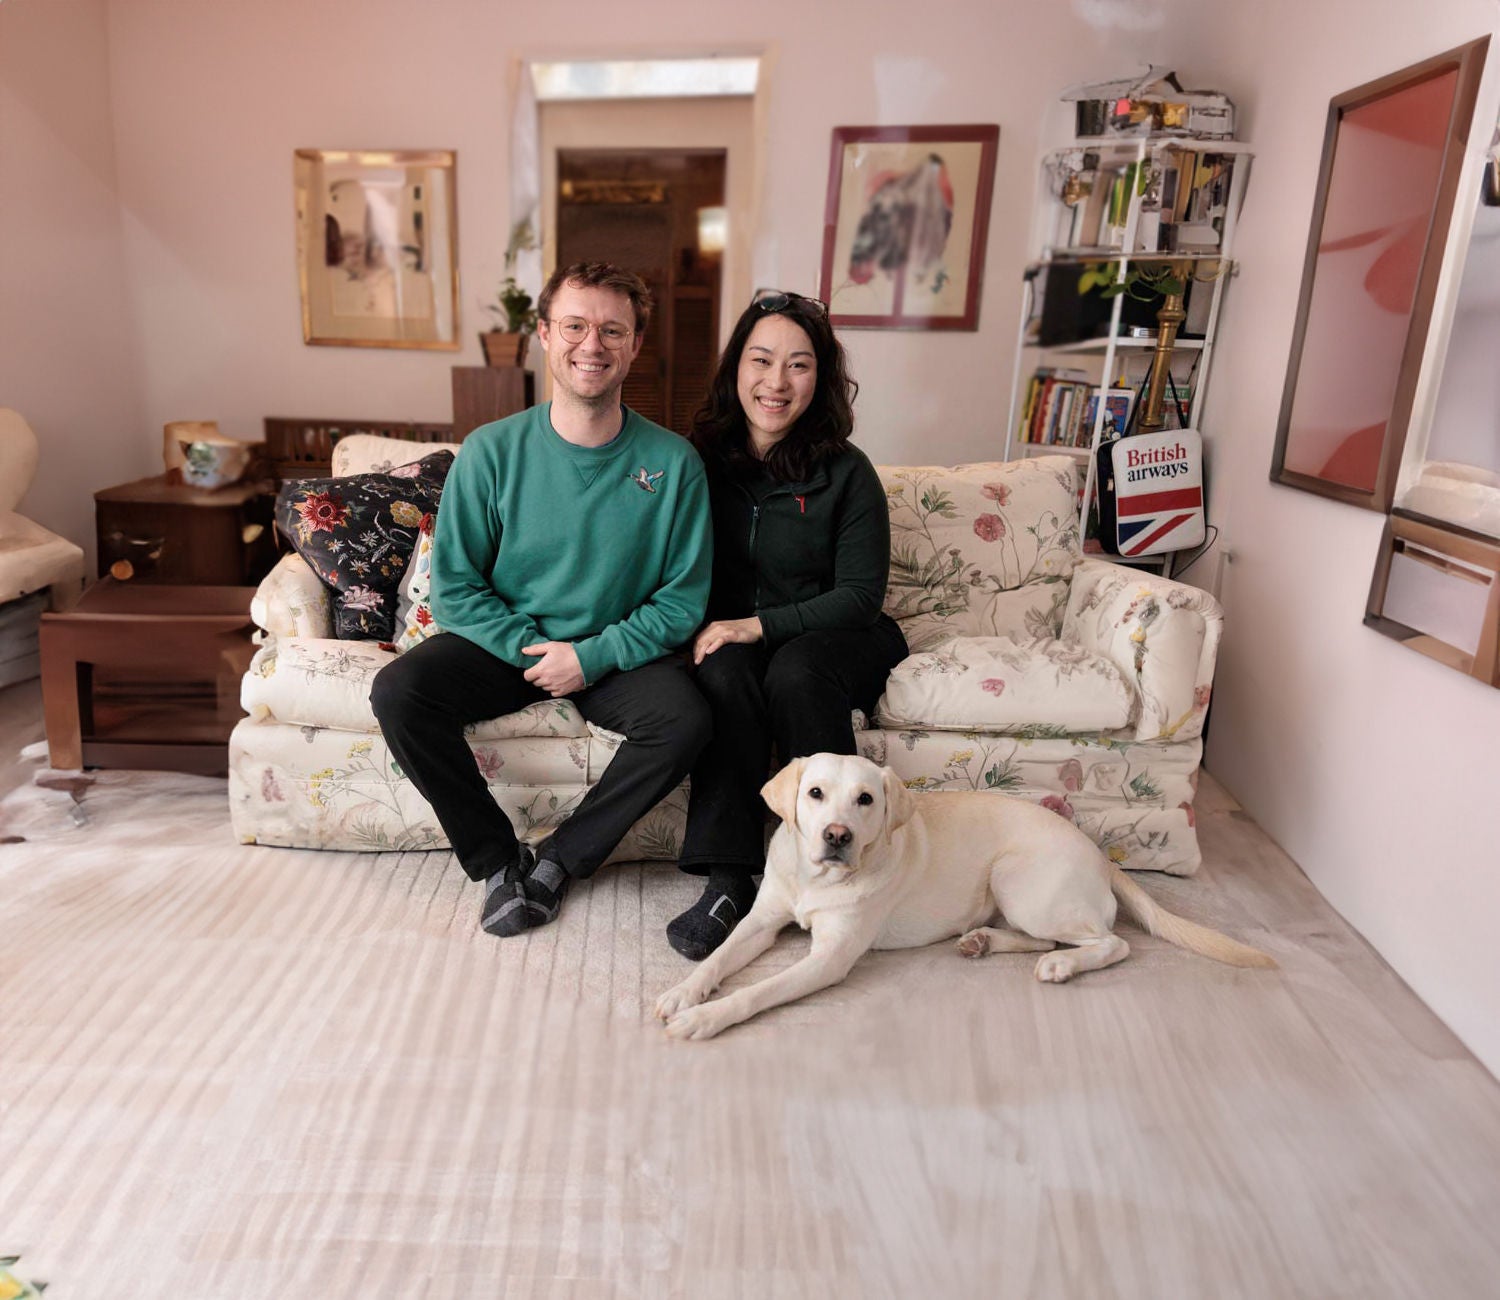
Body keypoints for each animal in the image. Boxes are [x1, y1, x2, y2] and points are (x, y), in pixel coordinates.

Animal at [651, 752, 1272, 1037]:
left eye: (866, 800)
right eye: (816, 794)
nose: (837, 837)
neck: (816, 881)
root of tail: (1100, 855)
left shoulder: (829, 958)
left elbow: (758, 991)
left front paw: (705, 1018)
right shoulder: (761, 923)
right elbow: (719, 959)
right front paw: (683, 993)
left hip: (1019, 881)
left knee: (1111, 943)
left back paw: (1062, 967)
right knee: (1044, 939)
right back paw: (984, 942)